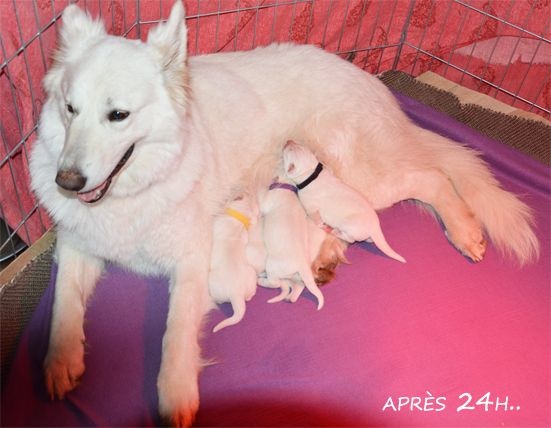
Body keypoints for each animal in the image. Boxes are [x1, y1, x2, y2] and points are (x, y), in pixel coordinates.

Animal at [260, 176, 326, 310]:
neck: (288, 187)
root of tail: (302, 265)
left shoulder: (267, 202)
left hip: (272, 265)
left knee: (275, 283)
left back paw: (262, 281)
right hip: (297, 276)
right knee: (300, 285)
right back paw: (291, 297)